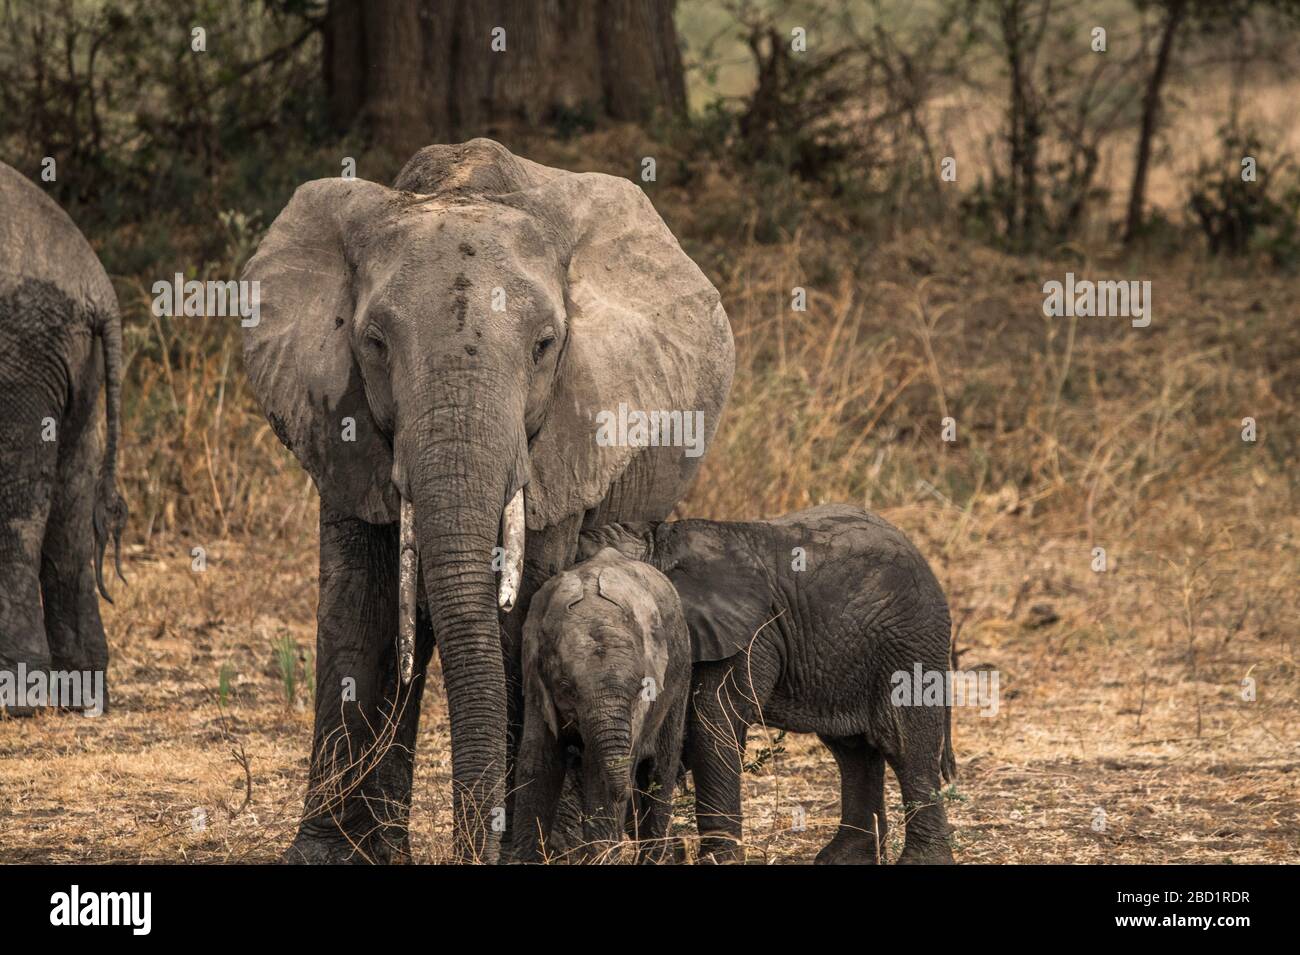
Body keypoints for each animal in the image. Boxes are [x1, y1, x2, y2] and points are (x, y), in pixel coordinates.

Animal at [511, 547, 690, 863]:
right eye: (566, 688)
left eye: (640, 688)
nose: (624, 796)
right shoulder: (534, 677)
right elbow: (539, 761)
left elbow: (600, 773)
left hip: (681, 673)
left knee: (660, 770)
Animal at [578, 504, 957, 864]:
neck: (656, 541)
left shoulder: (746, 636)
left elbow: (713, 725)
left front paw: (719, 860)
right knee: (852, 751)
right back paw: (845, 859)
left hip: (910, 643)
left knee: (905, 745)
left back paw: (921, 860)